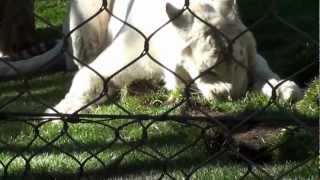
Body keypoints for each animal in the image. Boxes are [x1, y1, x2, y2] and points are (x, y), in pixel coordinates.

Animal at [45, 0, 302, 114]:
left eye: (237, 64)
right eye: (208, 70)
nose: (235, 95)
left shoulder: (251, 55)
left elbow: (264, 71)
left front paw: (285, 89)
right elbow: (86, 79)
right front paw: (60, 113)